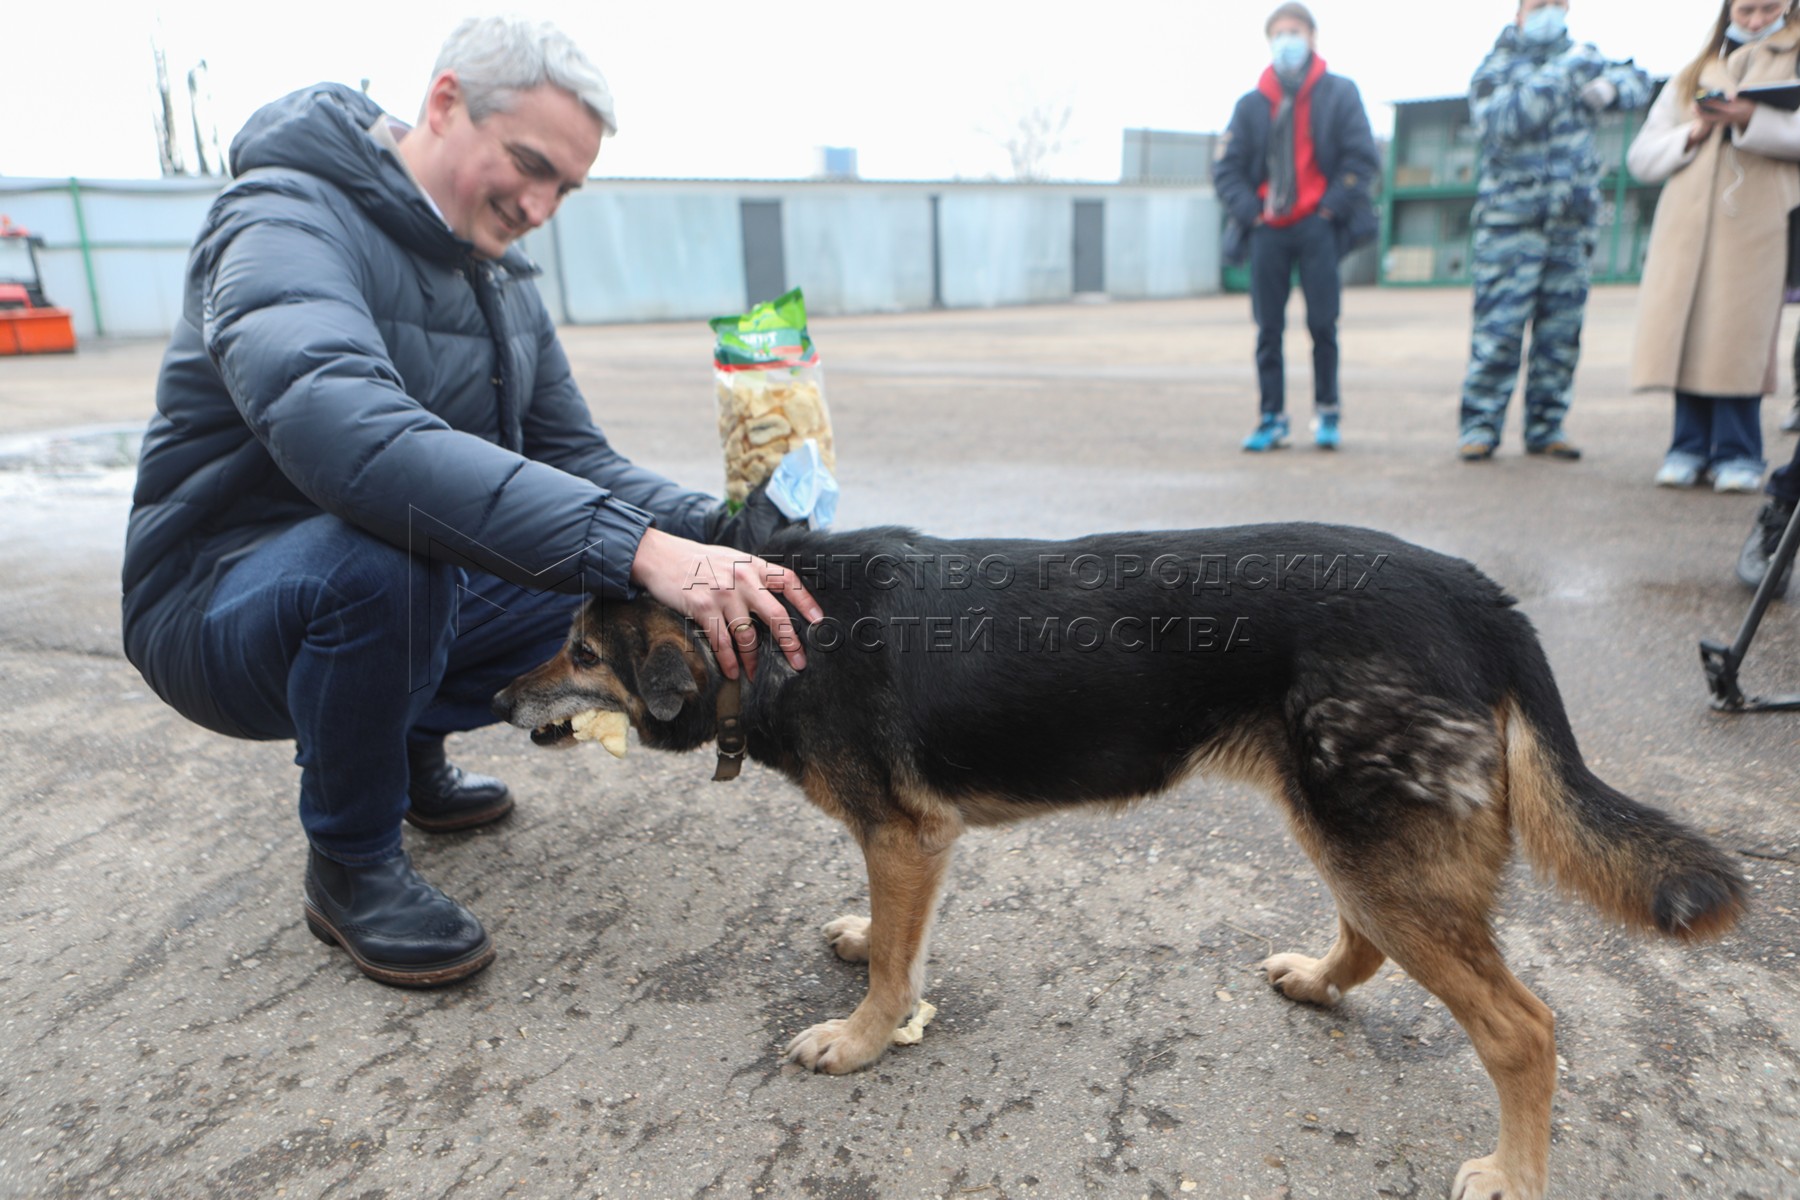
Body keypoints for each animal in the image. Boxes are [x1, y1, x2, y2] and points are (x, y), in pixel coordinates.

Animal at [493, 521, 1742, 1200]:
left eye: (581, 652)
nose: (499, 701)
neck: (765, 635)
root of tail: (1477, 595)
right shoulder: (913, 848)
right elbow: (895, 935)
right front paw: (863, 949)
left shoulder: (905, 837)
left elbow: (897, 965)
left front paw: (860, 1039)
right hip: (1349, 828)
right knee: (1371, 941)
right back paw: (1317, 983)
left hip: (1377, 842)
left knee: (1522, 1031)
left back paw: (1517, 1170)